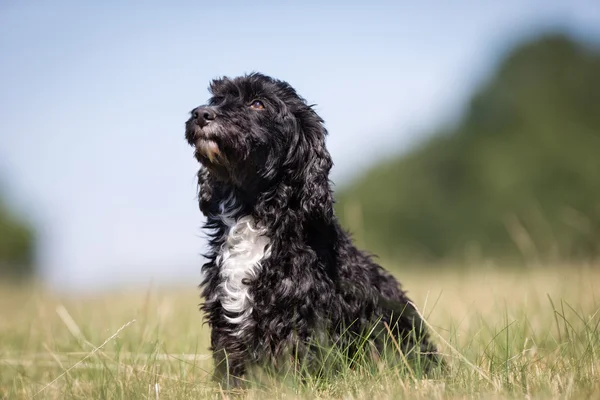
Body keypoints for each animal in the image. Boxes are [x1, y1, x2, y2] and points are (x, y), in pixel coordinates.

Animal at [184, 72, 440, 388]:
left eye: (257, 103)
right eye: (217, 98)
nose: (201, 114)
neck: (254, 214)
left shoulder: (299, 320)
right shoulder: (226, 315)